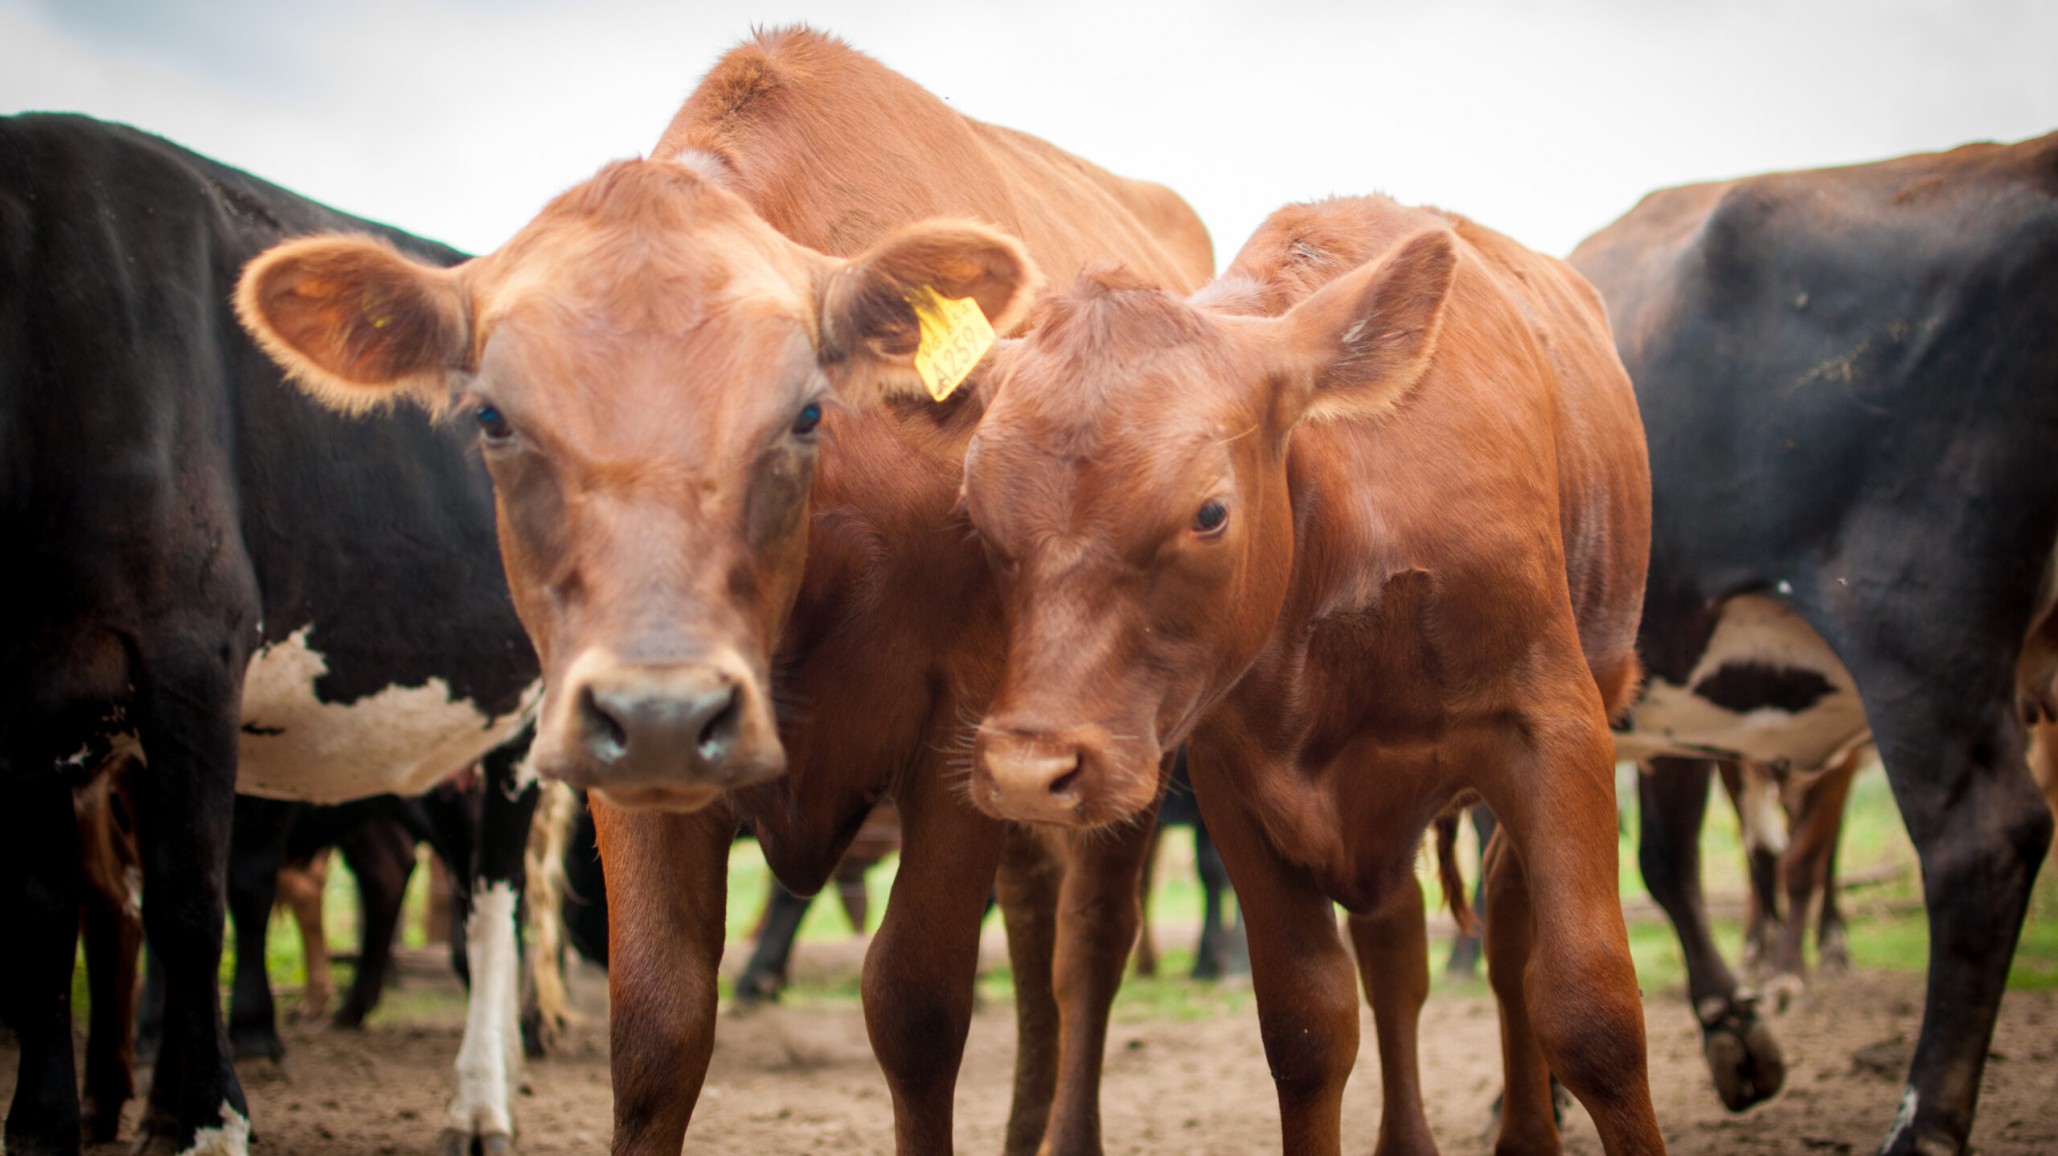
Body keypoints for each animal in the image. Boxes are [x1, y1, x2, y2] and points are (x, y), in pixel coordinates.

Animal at [0, 112, 546, 1156]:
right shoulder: (35, 707)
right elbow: (44, 908)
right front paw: (45, 1127)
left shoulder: (192, 657)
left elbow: (189, 898)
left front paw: (210, 1120)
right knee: (467, 884)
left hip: (531, 723)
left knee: (497, 895)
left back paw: (480, 1103)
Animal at [233, 26, 1214, 1155]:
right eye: (492, 419)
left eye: (804, 413)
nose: (665, 708)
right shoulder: (620, 750)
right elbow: (658, 1025)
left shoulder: (958, 725)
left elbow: (917, 1006)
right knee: (1033, 904)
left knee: (1088, 940)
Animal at [944, 194, 1663, 1154]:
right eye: (976, 512)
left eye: (1211, 512)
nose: (1028, 772)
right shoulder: (1236, 780)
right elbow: (1309, 1025)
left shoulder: (1553, 725)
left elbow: (1591, 1009)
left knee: (1510, 936)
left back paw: (1523, 1130)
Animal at [1571, 130, 2058, 1155]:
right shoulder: (1666, 707)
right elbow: (1662, 863)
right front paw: (1734, 1035)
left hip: (1912, 622)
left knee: (1980, 843)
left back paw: (1922, 1125)